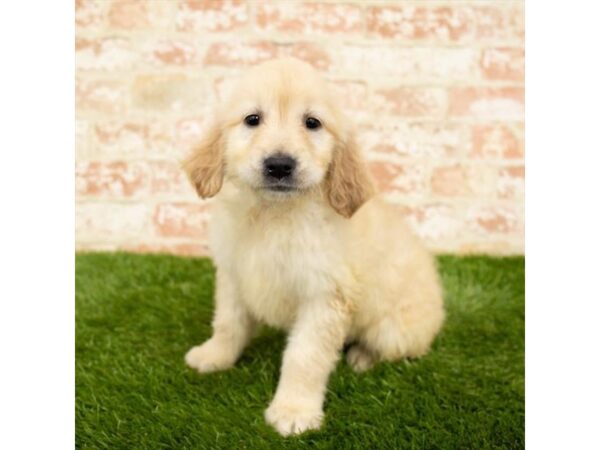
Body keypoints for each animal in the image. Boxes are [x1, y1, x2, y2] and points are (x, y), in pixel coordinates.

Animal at [184, 57, 446, 436]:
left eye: (312, 123)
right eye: (252, 119)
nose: (279, 165)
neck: (274, 214)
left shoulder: (325, 296)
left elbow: (304, 356)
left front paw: (294, 410)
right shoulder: (233, 275)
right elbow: (228, 323)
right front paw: (214, 356)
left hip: (394, 331)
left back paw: (361, 357)